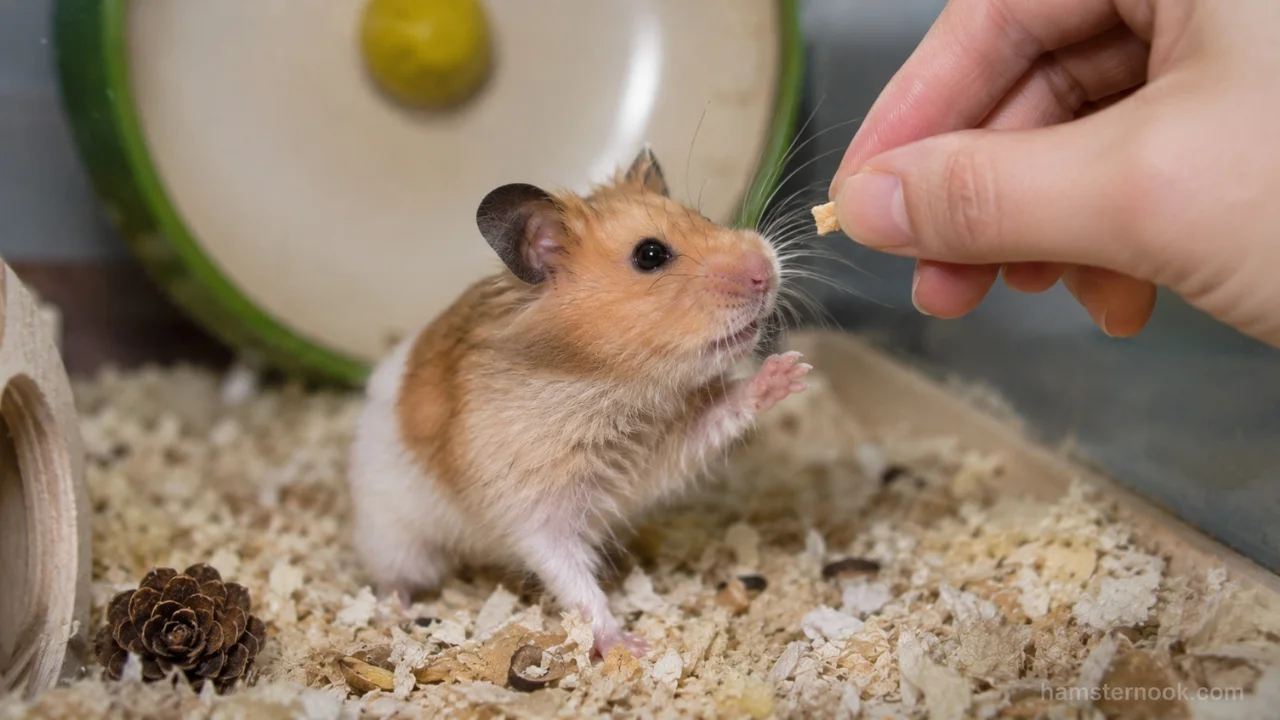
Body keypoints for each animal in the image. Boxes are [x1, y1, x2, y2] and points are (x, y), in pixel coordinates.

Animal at [347, 147, 811, 658]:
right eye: (650, 255)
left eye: (704, 216)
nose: (767, 271)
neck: (611, 387)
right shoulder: (535, 512)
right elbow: (575, 583)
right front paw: (631, 648)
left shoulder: (664, 451)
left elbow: (722, 413)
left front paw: (791, 370)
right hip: (396, 537)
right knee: (393, 578)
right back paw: (392, 615)